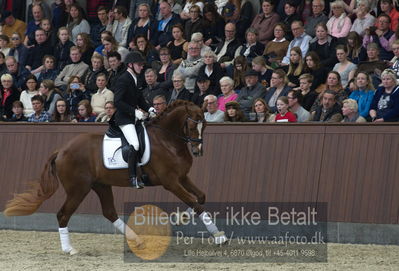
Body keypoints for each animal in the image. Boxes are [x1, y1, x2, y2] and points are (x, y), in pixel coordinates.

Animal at [3, 101, 228, 256]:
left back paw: (137, 241)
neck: (167, 140)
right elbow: (195, 202)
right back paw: (70, 249)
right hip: (78, 189)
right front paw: (219, 236)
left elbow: (200, 198)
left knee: (109, 212)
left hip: (101, 185)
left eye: (205, 125)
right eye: (192, 125)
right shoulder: (171, 182)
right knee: (63, 214)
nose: (198, 151)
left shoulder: (182, 177)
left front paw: (182, 217)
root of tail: (61, 150)